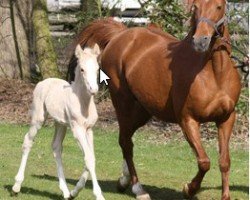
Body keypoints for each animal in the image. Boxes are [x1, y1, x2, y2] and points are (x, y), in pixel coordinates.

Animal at [11, 44, 104, 200]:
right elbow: (89, 159)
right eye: (82, 69)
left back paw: (66, 192)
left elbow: (90, 158)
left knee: (56, 147)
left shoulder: (89, 130)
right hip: (38, 118)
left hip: (61, 124)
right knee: (28, 141)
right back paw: (16, 186)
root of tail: (42, 81)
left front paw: (74, 192)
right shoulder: (77, 129)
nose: (93, 89)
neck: (83, 103)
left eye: (97, 68)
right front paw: (99, 195)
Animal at [67, 0, 241, 199]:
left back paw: (124, 180)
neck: (214, 73)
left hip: (144, 111)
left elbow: (224, 161)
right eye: (195, 7)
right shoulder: (188, 120)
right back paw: (138, 189)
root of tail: (120, 34)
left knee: (126, 138)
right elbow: (204, 161)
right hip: (123, 103)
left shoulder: (226, 119)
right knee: (126, 142)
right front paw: (189, 189)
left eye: (219, 6)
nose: (200, 40)